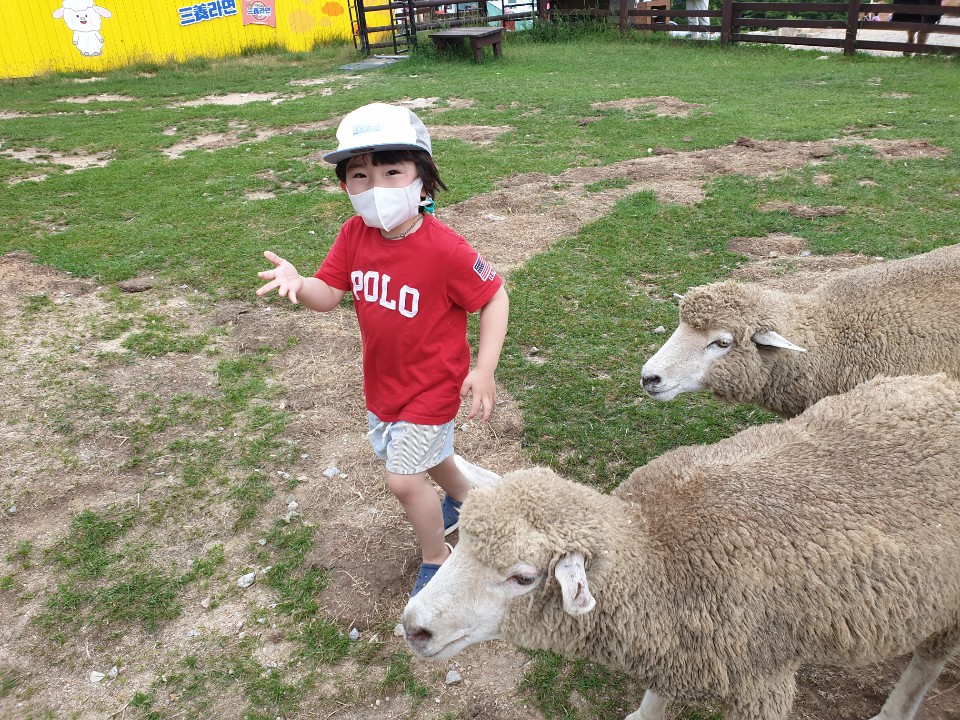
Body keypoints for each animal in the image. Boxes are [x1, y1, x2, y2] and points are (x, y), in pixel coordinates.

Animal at [402, 373, 960, 720]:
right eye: (462, 541)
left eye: (523, 578)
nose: (413, 628)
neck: (661, 555)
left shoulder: (763, 681)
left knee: (928, 660)